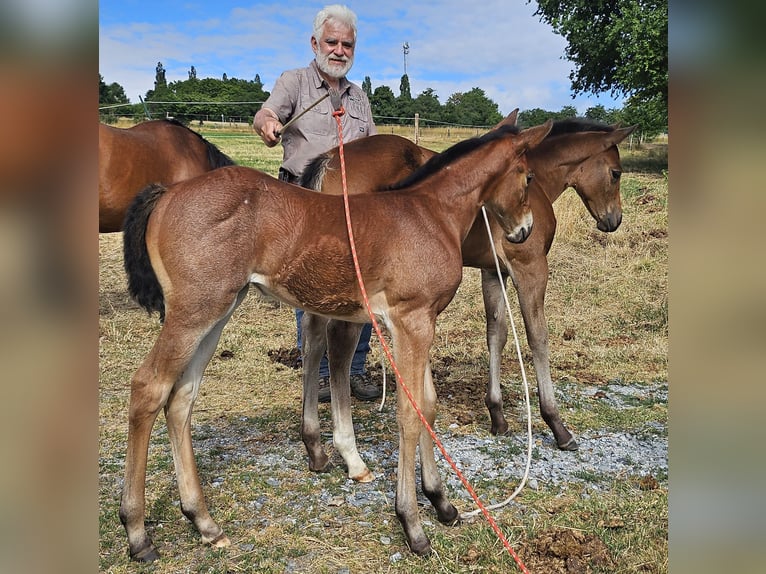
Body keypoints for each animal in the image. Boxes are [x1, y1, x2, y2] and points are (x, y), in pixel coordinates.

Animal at [119, 121, 552, 561]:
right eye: (529, 177)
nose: (525, 230)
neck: (433, 214)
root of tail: (167, 193)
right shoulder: (411, 320)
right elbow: (410, 414)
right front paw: (412, 525)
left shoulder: (420, 321)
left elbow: (427, 406)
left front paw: (441, 502)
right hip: (194, 312)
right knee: (149, 388)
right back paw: (137, 533)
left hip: (218, 311)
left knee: (181, 398)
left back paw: (203, 522)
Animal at [299, 115, 637, 452]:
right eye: (616, 173)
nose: (614, 220)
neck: (536, 182)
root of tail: (328, 160)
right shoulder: (531, 266)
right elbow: (537, 337)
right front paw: (556, 424)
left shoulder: (494, 271)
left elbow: (496, 334)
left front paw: (497, 415)